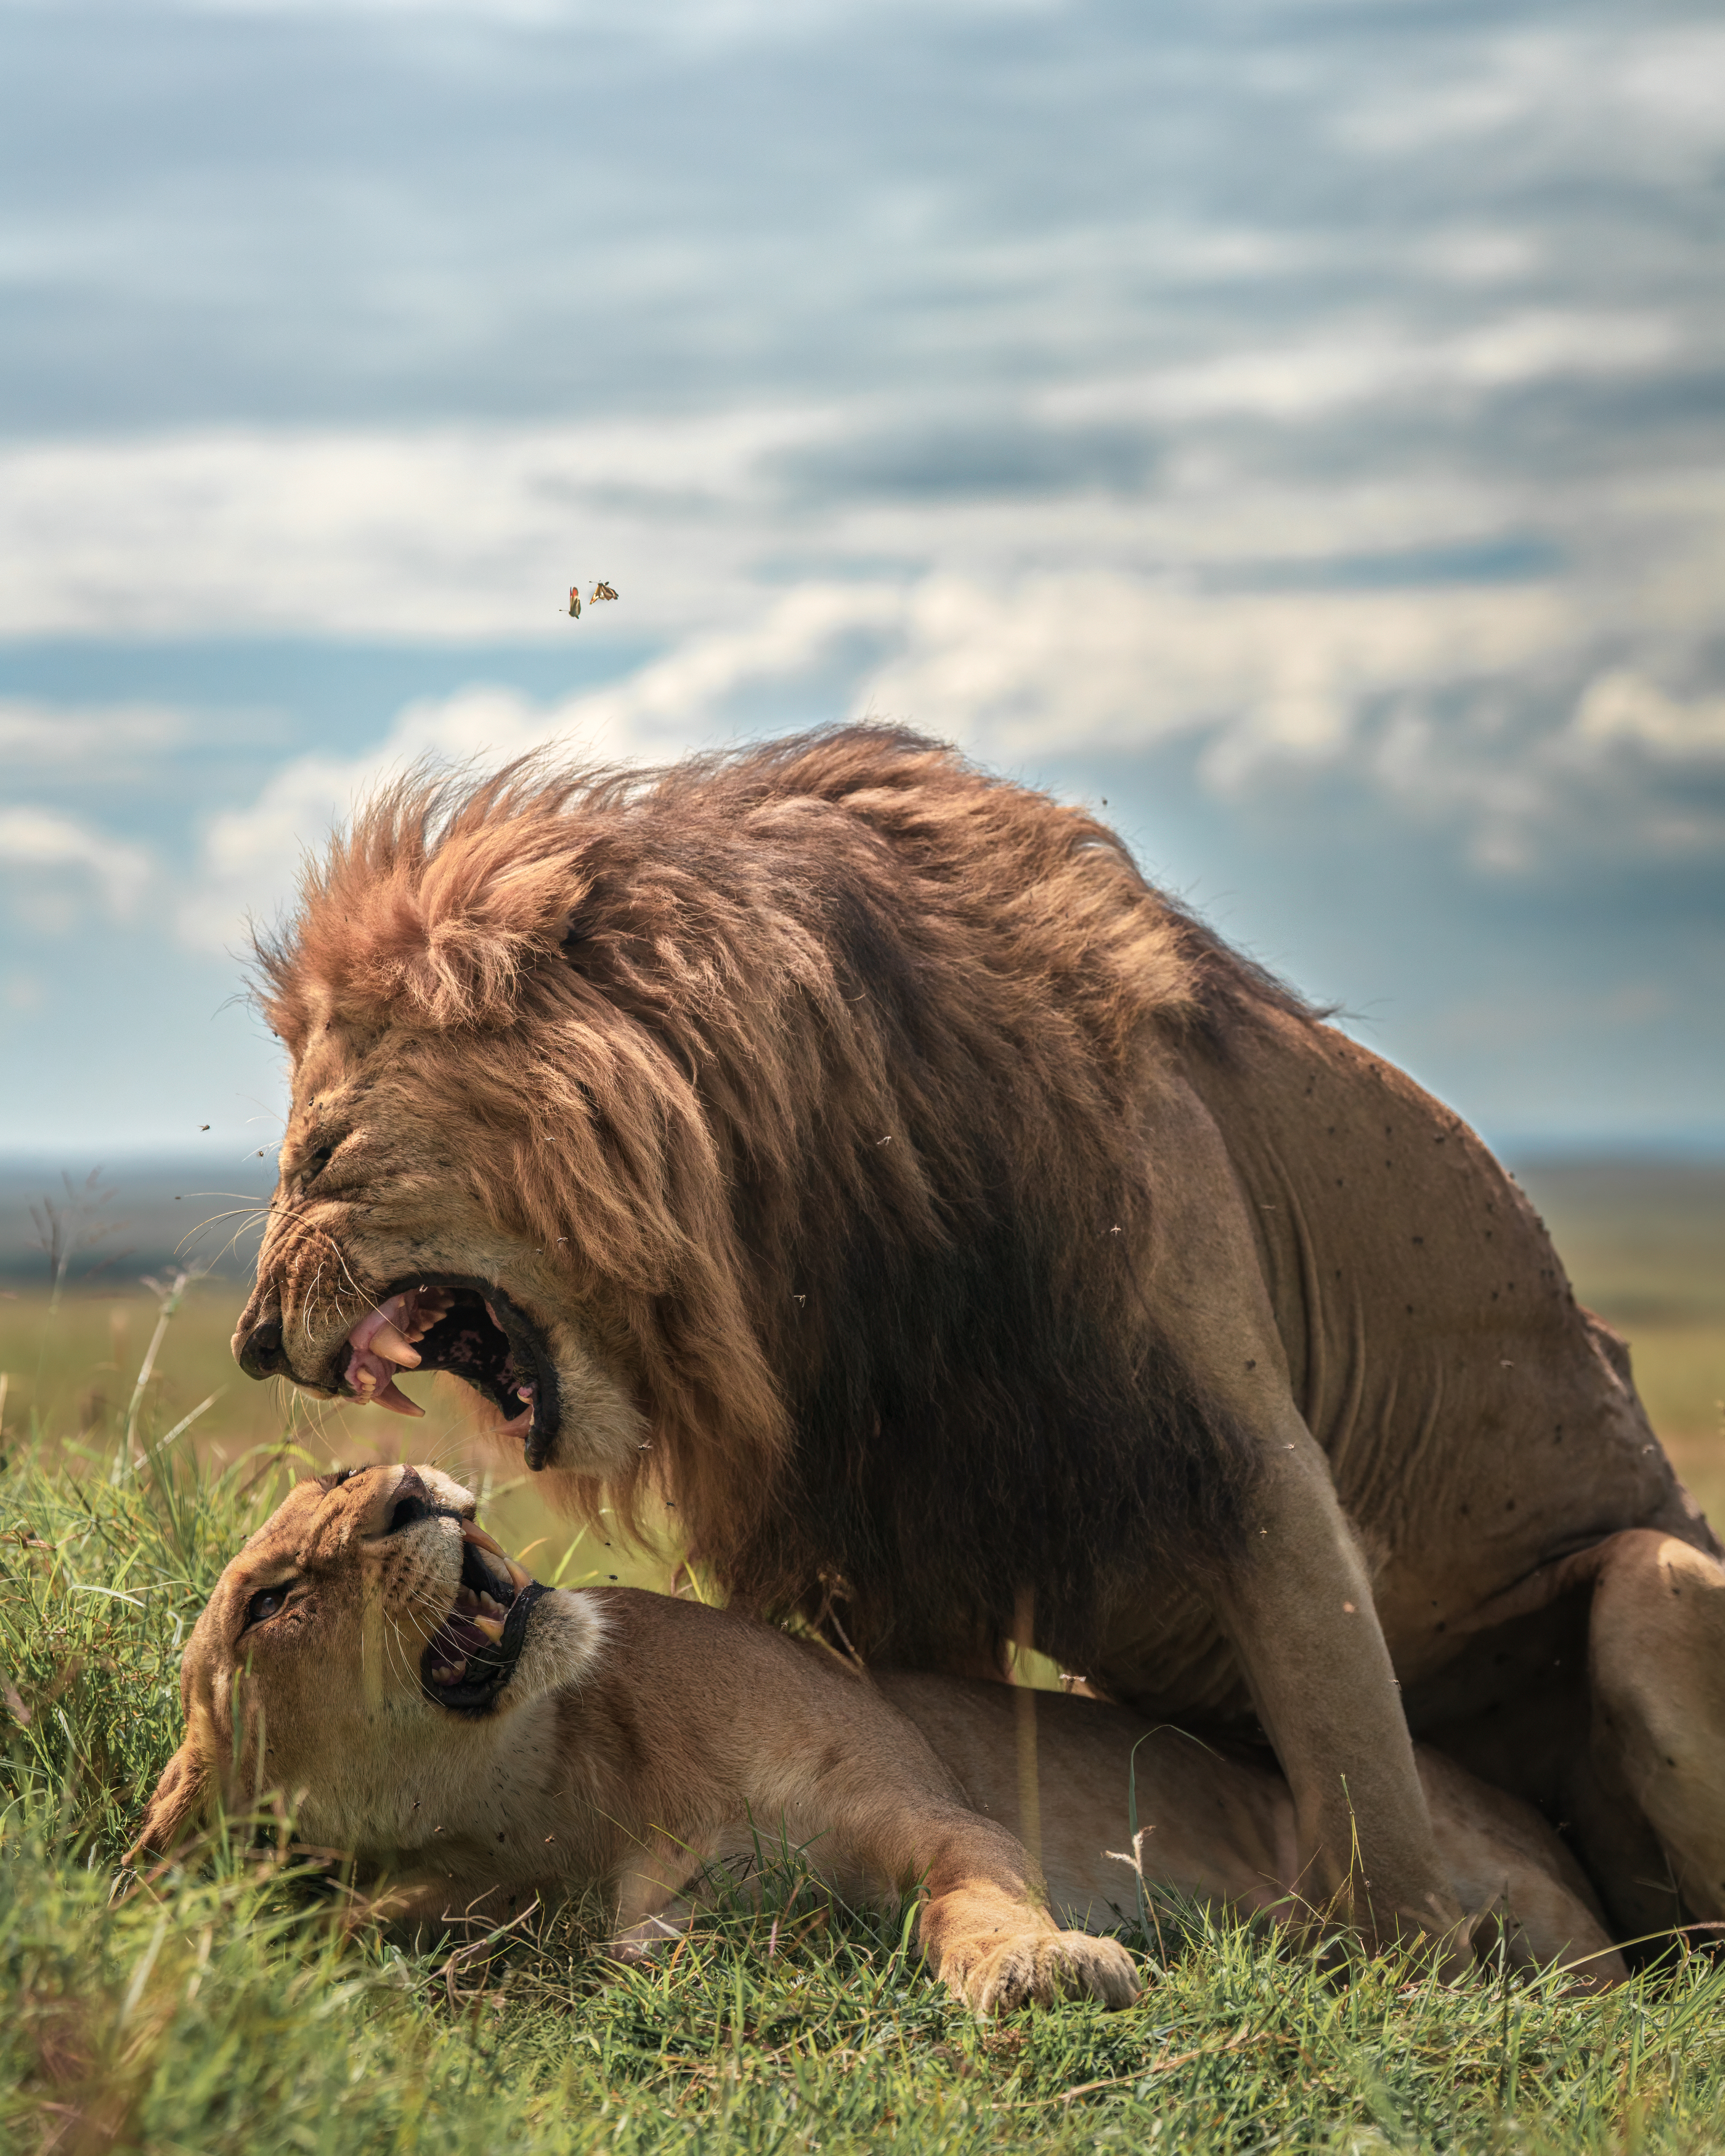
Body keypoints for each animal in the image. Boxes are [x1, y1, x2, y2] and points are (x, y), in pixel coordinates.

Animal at [131, 1464, 1625, 1999]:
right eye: (272, 1601)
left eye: (339, 1471)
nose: (407, 1488)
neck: (568, 1787)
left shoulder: (926, 1813)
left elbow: (969, 1900)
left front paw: (1039, 1967)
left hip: (1538, 1903)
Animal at [229, 725, 1725, 1962]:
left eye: (321, 1153)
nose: (245, 1343)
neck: (807, 1199)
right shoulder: (902, 1530)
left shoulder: (1251, 1464)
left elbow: (1361, 1781)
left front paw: (1406, 1978)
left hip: (1649, 1581)